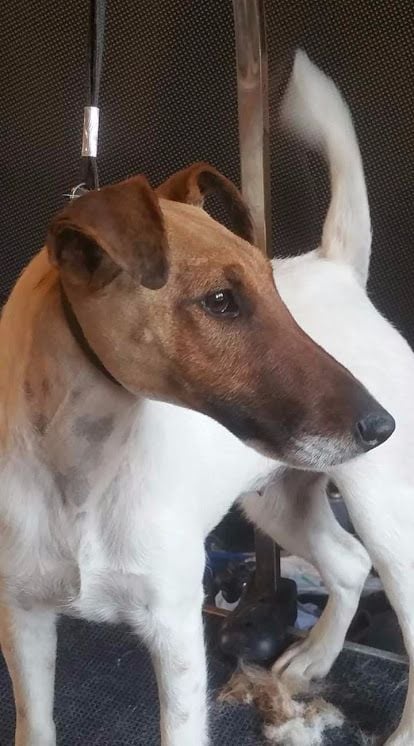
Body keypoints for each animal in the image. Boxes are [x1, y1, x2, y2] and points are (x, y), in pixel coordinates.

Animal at [0, 51, 400, 746]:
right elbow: (37, 724)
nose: (381, 426)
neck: (83, 469)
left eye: (271, 288)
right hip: (278, 499)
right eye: (220, 301)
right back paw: (314, 658)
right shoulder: (24, 619)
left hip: (386, 512)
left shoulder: (175, 628)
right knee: (349, 564)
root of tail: (337, 268)